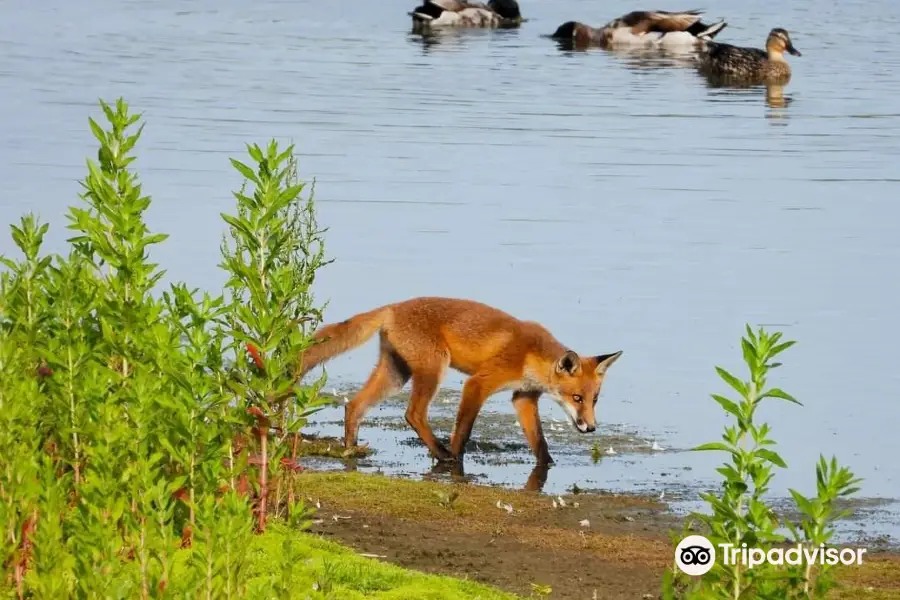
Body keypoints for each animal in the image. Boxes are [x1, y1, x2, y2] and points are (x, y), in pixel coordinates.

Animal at [298, 296, 624, 464]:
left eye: (594, 400)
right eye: (576, 398)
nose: (591, 428)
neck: (531, 356)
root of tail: (392, 307)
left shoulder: (523, 398)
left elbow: (540, 444)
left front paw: (549, 466)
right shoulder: (478, 384)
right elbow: (463, 432)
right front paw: (456, 456)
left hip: (395, 375)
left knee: (354, 405)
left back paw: (350, 448)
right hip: (433, 370)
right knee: (413, 413)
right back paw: (443, 455)